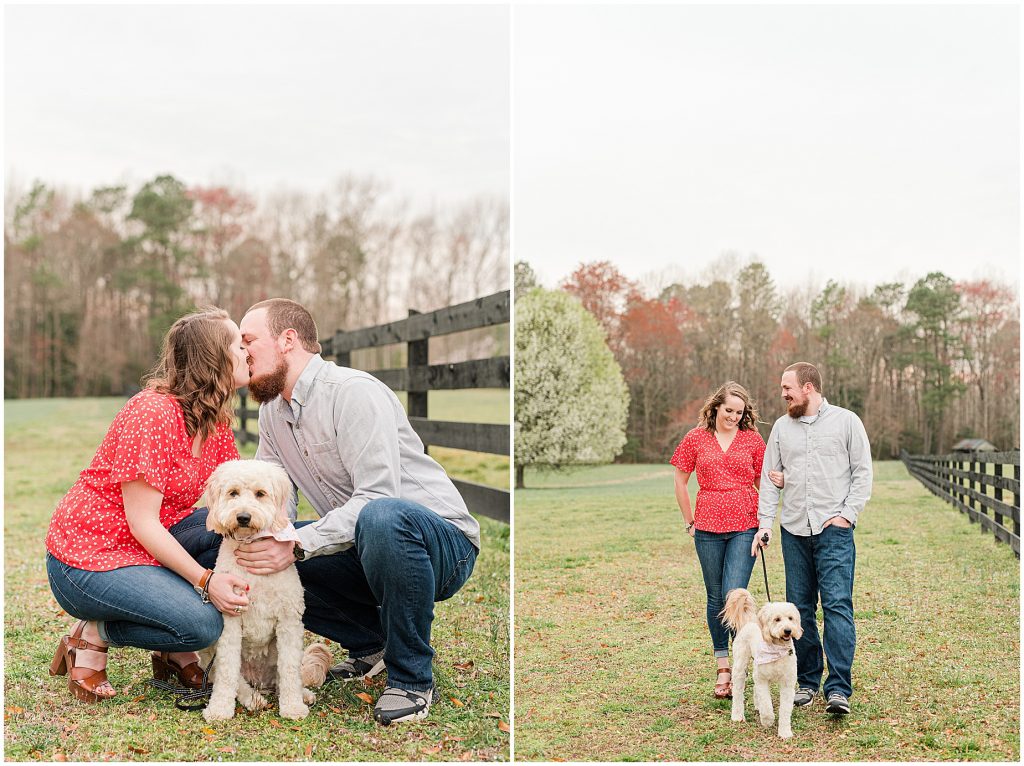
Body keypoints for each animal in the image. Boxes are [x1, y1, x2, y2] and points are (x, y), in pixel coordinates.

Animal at [204, 458, 335, 720]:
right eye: (233, 493)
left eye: (260, 494)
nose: (243, 517)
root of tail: (260, 681)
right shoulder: (230, 623)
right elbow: (227, 672)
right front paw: (219, 709)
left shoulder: (289, 621)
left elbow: (289, 668)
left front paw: (293, 706)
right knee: (236, 680)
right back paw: (252, 699)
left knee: (284, 676)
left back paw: (302, 694)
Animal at [720, 585, 806, 741]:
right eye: (777, 619)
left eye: (791, 618)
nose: (788, 630)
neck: (777, 649)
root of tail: (750, 621)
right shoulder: (762, 679)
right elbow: (766, 704)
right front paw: (767, 720)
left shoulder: (787, 683)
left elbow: (785, 710)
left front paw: (785, 732)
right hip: (740, 666)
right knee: (738, 692)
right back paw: (737, 715)